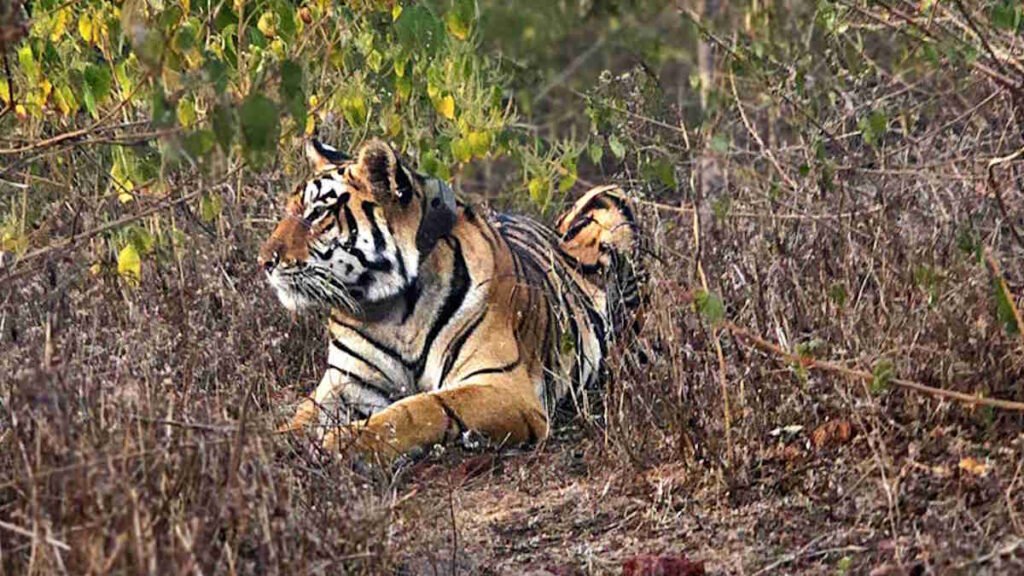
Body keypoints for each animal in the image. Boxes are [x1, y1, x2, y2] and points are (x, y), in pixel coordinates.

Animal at [259, 138, 645, 465]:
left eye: (317, 214)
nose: (264, 261)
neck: (392, 311)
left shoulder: (502, 385)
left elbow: (418, 410)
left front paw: (339, 444)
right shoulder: (344, 384)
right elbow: (301, 417)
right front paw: (269, 447)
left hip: (609, 198)